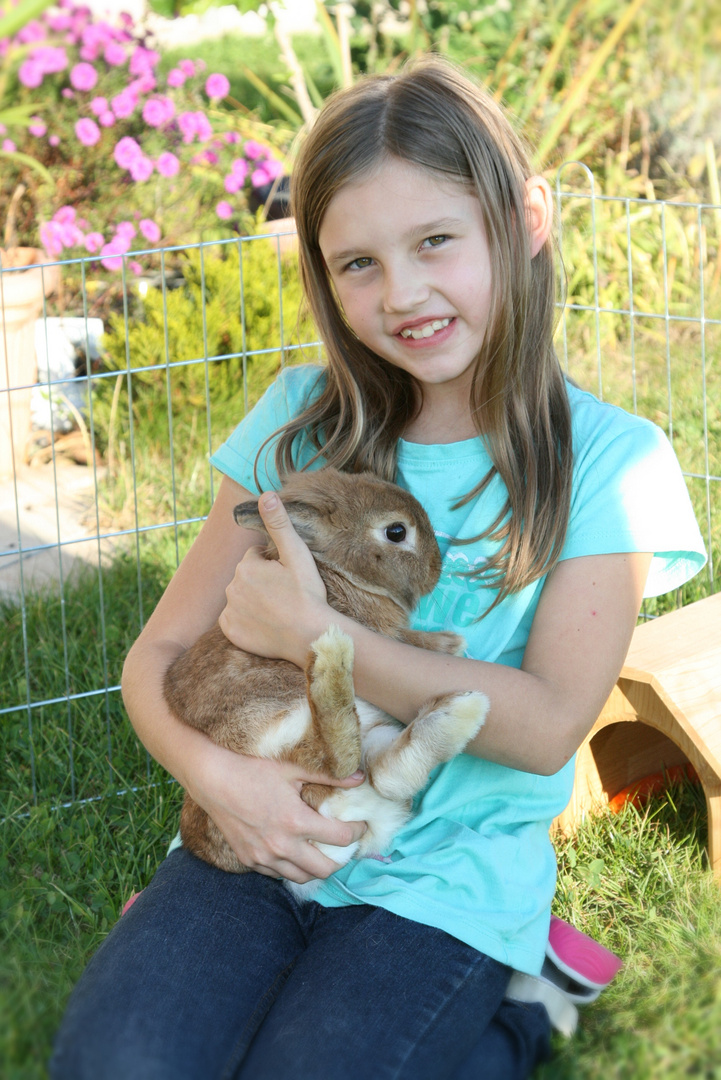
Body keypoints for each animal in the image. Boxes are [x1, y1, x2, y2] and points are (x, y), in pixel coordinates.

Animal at [165, 468, 487, 898]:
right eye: (396, 532)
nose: (437, 568)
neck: (336, 571)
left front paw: (451, 643)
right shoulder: (378, 631)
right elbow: (404, 639)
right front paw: (450, 643)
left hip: (370, 734)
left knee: (386, 774)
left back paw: (461, 712)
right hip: (266, 727)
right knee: (335, 760)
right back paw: (333, 661)